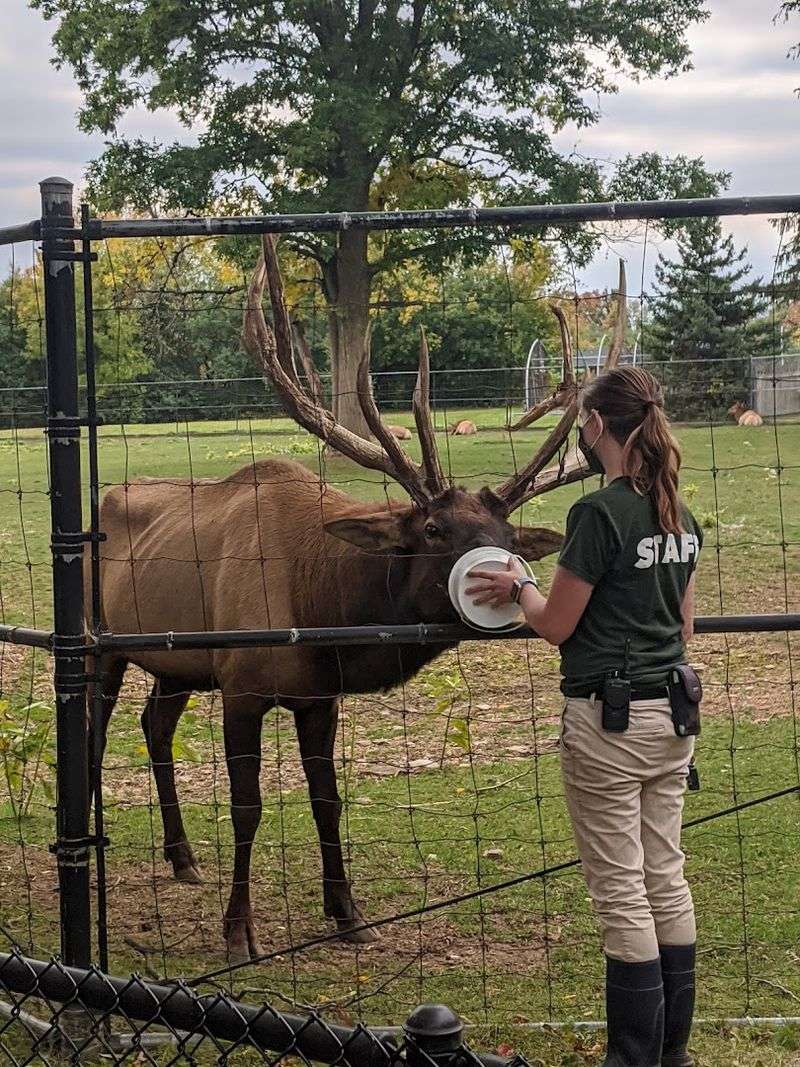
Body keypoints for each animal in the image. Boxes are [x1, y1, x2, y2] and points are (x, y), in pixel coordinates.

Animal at [87, 236, 626, 964]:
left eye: (511, 535)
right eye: (434, 528)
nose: (507, 580)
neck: (318, 611)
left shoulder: (319, 697)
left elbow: (328, 800)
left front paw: (348, 913)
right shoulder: (242, 685)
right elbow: (248, 807)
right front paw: (239, 931)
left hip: (177, 664)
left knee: (154, 724)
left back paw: (183, 857)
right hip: (103, 644)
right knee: (95, 734)